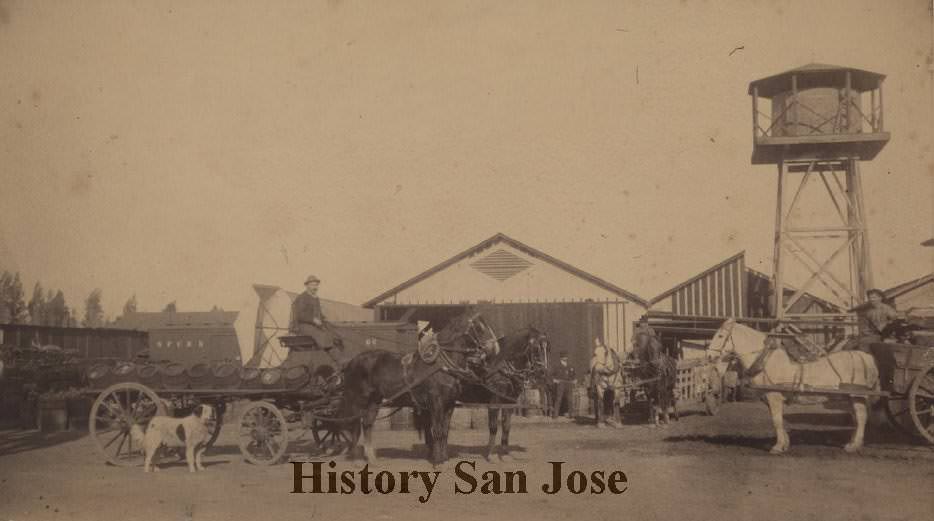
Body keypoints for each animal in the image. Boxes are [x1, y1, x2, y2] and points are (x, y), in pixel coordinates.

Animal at [342, 310, 504, 466]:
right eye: (479, 327)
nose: (496, 348)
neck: (440, 367)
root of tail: (351, 362)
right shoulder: (436, 403)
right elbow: (437, 431)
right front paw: (438, 462)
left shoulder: (449, 404)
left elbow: (444, 432)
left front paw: (444, 458)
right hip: (359, 400)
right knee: (355, 425)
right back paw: (356, 459)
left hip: (374, 402)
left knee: (367, 425)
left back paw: (372, 459)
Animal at [712, 316, 880, 450]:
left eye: (720, 336)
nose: (709, 355)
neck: (767, 362)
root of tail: (866, 357)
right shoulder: (770, 399)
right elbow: (778, 420)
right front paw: (785, 443)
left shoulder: (774, 396)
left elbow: (776, 420)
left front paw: (778, 447)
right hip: (850, 396)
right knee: (857, 418)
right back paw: (852, 443)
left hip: (857, 395)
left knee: (861, 417)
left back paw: (854, 446)